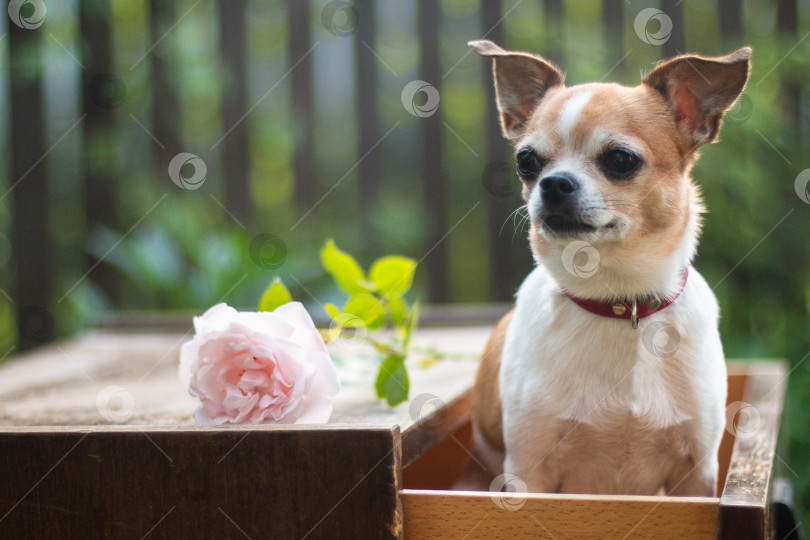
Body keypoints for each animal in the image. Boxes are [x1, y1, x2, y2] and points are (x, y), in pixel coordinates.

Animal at [464, 41, 748, 498]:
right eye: (527, 161)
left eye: (620, 159)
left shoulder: (695, 474)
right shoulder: (528, 474)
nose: (553, 182)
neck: (619, 301)